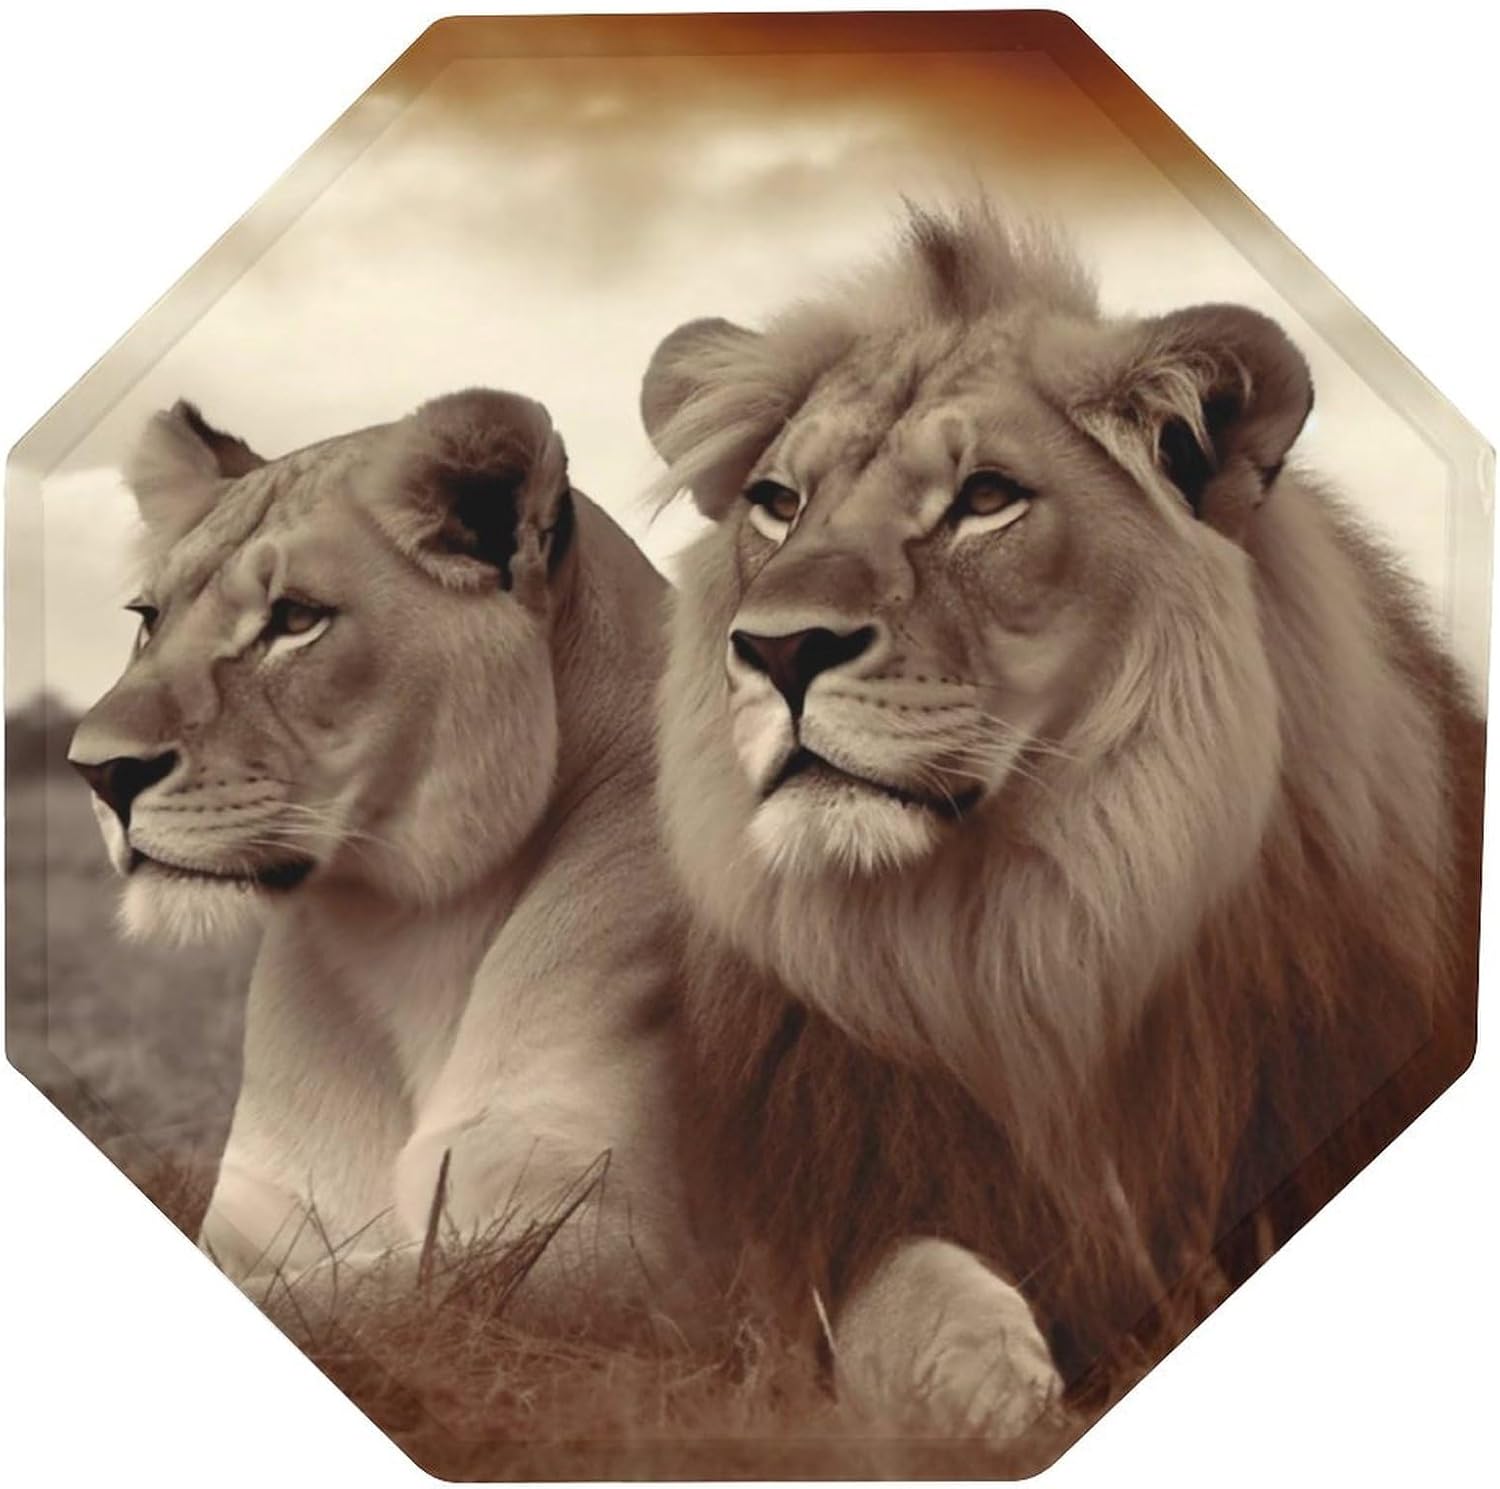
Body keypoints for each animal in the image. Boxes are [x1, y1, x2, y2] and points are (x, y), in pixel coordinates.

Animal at [68, 390, 704, 1331]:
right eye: (149, 619)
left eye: (296, 619)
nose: (98, 771)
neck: (408, 933)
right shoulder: (250, 1207)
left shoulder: (616, 1244)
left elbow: (345, 1297)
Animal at [640, 204, 1484, 1438]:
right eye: (779, 502)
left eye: (986, 498)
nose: (779, 650)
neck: (1018, 942)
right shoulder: (799, 1237)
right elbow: (905, 1296)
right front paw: (996, 1389)